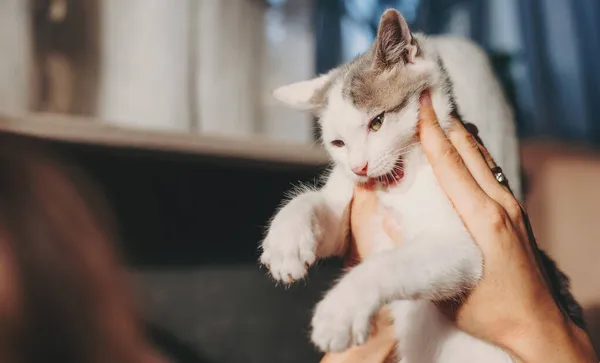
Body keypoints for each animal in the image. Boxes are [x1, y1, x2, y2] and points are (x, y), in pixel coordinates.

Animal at [260, 8, 584, 363]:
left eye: (377, 122)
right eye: (338, 143)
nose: (359, 167)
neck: (399, 191)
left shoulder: (461, 247)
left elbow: (388, 264)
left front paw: (340, 310)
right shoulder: (347, 221)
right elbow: (312, 205)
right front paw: (285, 244)